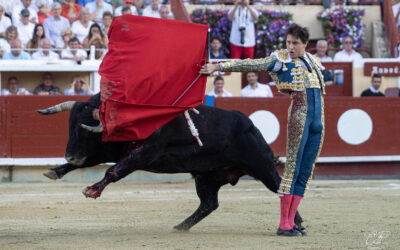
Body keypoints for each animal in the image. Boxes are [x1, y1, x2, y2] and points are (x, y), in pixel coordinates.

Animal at [37, 94, 304, 230]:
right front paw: (56, 170)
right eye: (70, 126)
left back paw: (296, 225)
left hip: (262, 166)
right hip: (205, 176)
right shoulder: (115, 150)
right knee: (209, 203)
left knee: (281, 187)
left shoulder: (144, 153)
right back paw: (180, 227)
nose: (70, 154)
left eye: (86, 130)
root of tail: (251, 126)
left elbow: (114, 171)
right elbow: (91, 162)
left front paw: (92, 190)